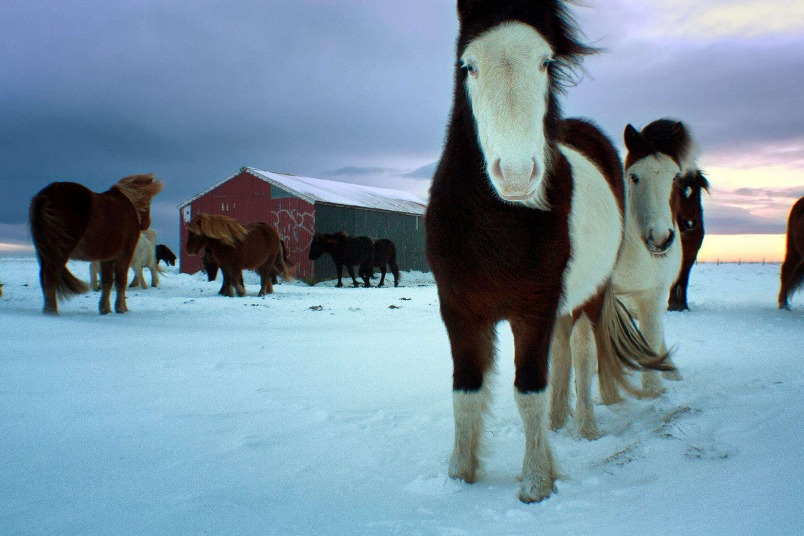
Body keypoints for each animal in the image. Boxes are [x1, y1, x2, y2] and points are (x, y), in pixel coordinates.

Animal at [30, 174, 163, 315]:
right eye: (149, 201)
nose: (146, 224)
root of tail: (47, 195)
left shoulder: (107, 257)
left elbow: (107, 281)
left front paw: (105, 309)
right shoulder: (125, 254)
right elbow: (121, 280)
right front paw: (121, 308)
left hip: (45, 252)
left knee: (43, 276)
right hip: (59, 251)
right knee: (50, 276)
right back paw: (51, 311)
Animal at [425, 1, 670, 503]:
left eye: (545, 62)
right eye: (468, 66)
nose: (518, 175)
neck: (496, 230)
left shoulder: (532, 311)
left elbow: (528, 392)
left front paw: (536, 482)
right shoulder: (458, 310)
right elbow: (465, 392)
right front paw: (460, 475)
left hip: (590, 297)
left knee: (581, 352)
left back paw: (584, 427)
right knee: (562, 351)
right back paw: (559, 423)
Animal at [668, 170, 710, 311]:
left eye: (698, 190)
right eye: (679, 190)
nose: (690, 223)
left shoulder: (690, 256)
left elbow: (684, 279)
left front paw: (682, 305)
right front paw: (672, 304)